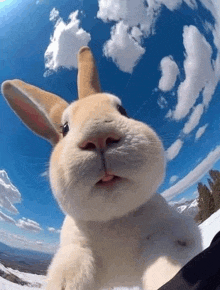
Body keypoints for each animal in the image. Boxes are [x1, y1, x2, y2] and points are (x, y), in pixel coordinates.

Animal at [1, 46, 201, 288]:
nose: (98, 137)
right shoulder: (76, 252)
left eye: (123, 110)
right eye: (65, 128)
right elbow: (71, 273)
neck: (113, 218)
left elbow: (169, 262)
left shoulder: (169, 234)